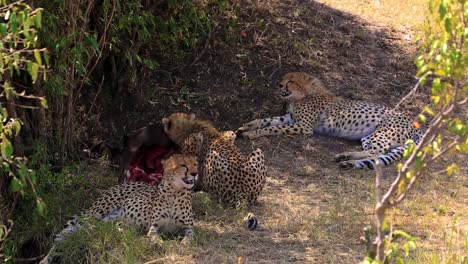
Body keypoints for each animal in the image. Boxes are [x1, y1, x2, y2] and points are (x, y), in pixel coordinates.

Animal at [40, 155, 199, 264]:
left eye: (195, 164)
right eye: (183, 165)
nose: (195, 173)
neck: (175, 192)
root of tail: (123, 183)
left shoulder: (188, 227)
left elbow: (190, 236)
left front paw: (184, 244)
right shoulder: (154, 227)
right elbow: (155, 236)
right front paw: (160, 243)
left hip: (111, 218)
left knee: (93, 228)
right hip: (96, 213)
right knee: (69, 232)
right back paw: (46, 259)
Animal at [238, 71, 424, 169]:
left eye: (290, 81)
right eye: (284, 78)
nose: (279, 84)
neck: (304, 95)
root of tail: (417, 125)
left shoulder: (304, 127)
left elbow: (272, 128)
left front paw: (253, 134)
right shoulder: (290, 118)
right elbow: (267, 120)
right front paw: (247, 126)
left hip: (382, 133)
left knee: (377, 153)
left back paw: (348, 161)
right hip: (369, 136)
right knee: (376, 154)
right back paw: (346, 157)